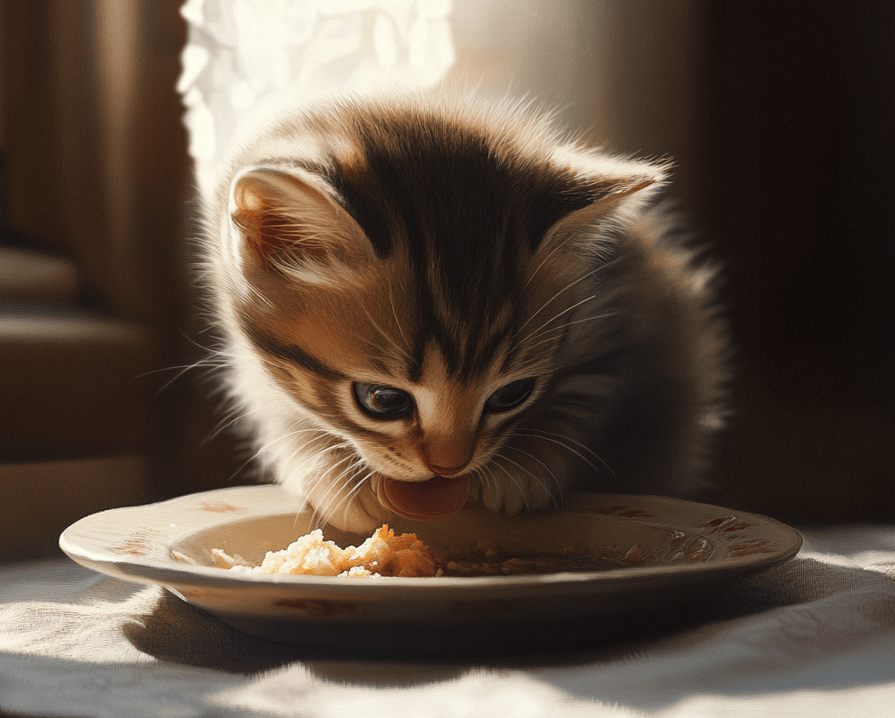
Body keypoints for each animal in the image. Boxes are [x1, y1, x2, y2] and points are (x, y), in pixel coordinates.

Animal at [201, 88, 728, 536]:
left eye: (513, 394)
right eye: (383, 400)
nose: (448, 468)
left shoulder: (620, 319)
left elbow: (586, 395)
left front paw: (527, 463)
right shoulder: (251, 365)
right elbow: (281, 412)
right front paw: (328, 468)